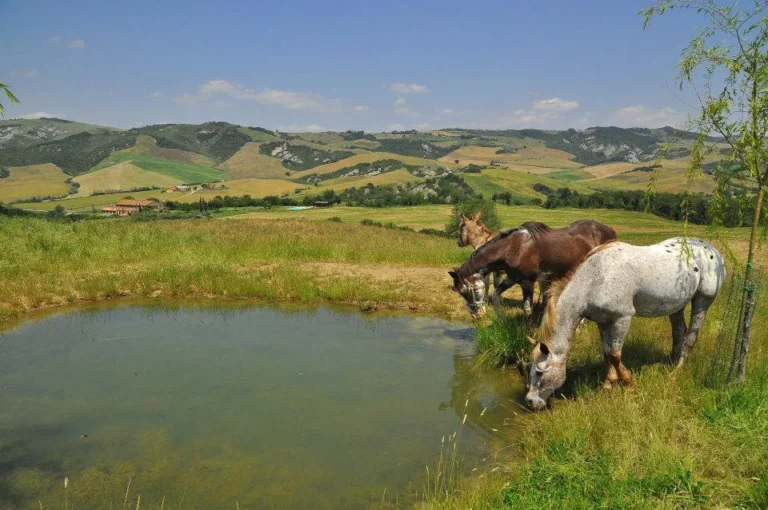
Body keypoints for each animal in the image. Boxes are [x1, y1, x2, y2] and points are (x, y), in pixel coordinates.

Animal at [449, 219, 617, 318]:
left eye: (466, 291)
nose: (475, 315)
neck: (512, 248)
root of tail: (609, 230)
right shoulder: (512, 278)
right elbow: (496, 295)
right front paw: (501, 320)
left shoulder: (528, 282)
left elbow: (527, 309)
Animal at [525, 237, 726, 411]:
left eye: (540, 372)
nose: (530, 401)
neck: (596, 278)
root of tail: (714, 252)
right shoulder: (604, 321)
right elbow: (607, 353)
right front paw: (608, 385)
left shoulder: (622, 319)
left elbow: (615, 355)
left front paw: (628, 382)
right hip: (677, 305)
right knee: (679, 332)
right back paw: (671, 362)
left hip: (703, 300)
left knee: (690, 336)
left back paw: (676, 370)